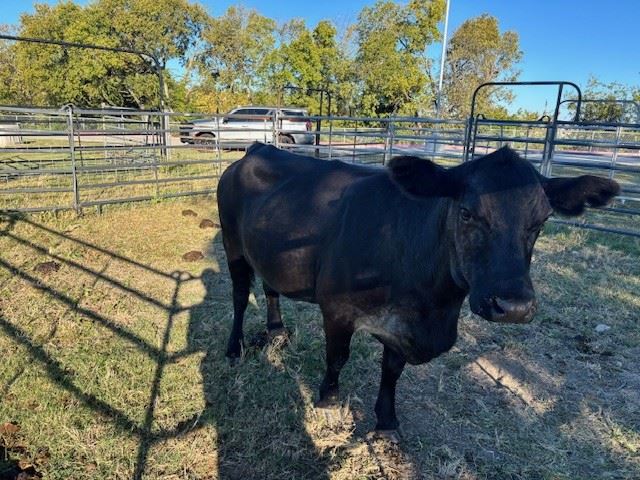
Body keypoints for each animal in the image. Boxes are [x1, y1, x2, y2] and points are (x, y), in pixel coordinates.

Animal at [216, 143, 619, 432]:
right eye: (467, 212)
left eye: (541, 221)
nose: (514, 306)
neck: (434, 307)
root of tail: (257, 148)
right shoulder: (337, 308)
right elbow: (337, 358)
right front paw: (328, 403)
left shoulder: (405, 325)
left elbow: (392, 369)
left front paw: (386, 421)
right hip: (232, 243)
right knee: (239, 296)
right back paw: (234, 348)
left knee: (270, 287)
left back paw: (276, 332)